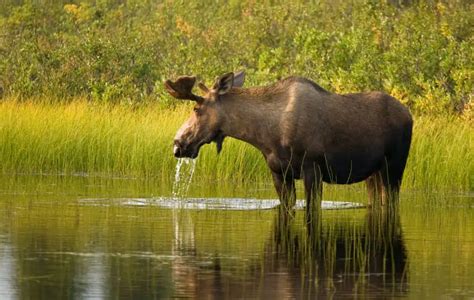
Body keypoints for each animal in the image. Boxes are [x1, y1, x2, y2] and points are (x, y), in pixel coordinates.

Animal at [166, 71, 412, 213]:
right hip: (374, 173)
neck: (263, 135)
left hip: (394, 167)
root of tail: (410, 115)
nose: (178, 144)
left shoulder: (313, 167)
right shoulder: (278, 172)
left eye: (196, 109)